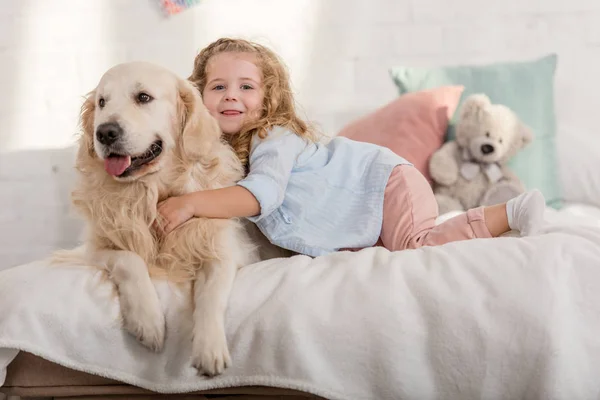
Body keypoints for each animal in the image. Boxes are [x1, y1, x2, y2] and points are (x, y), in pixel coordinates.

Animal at [57, 61, 258, 376]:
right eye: (102, 102)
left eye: (143, 97)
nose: (104, 133)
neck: (150, 191)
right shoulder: (91, 249)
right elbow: (129, 259)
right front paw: (147, 321)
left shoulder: (225, 249)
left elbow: (212, 295)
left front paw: (209, 347)